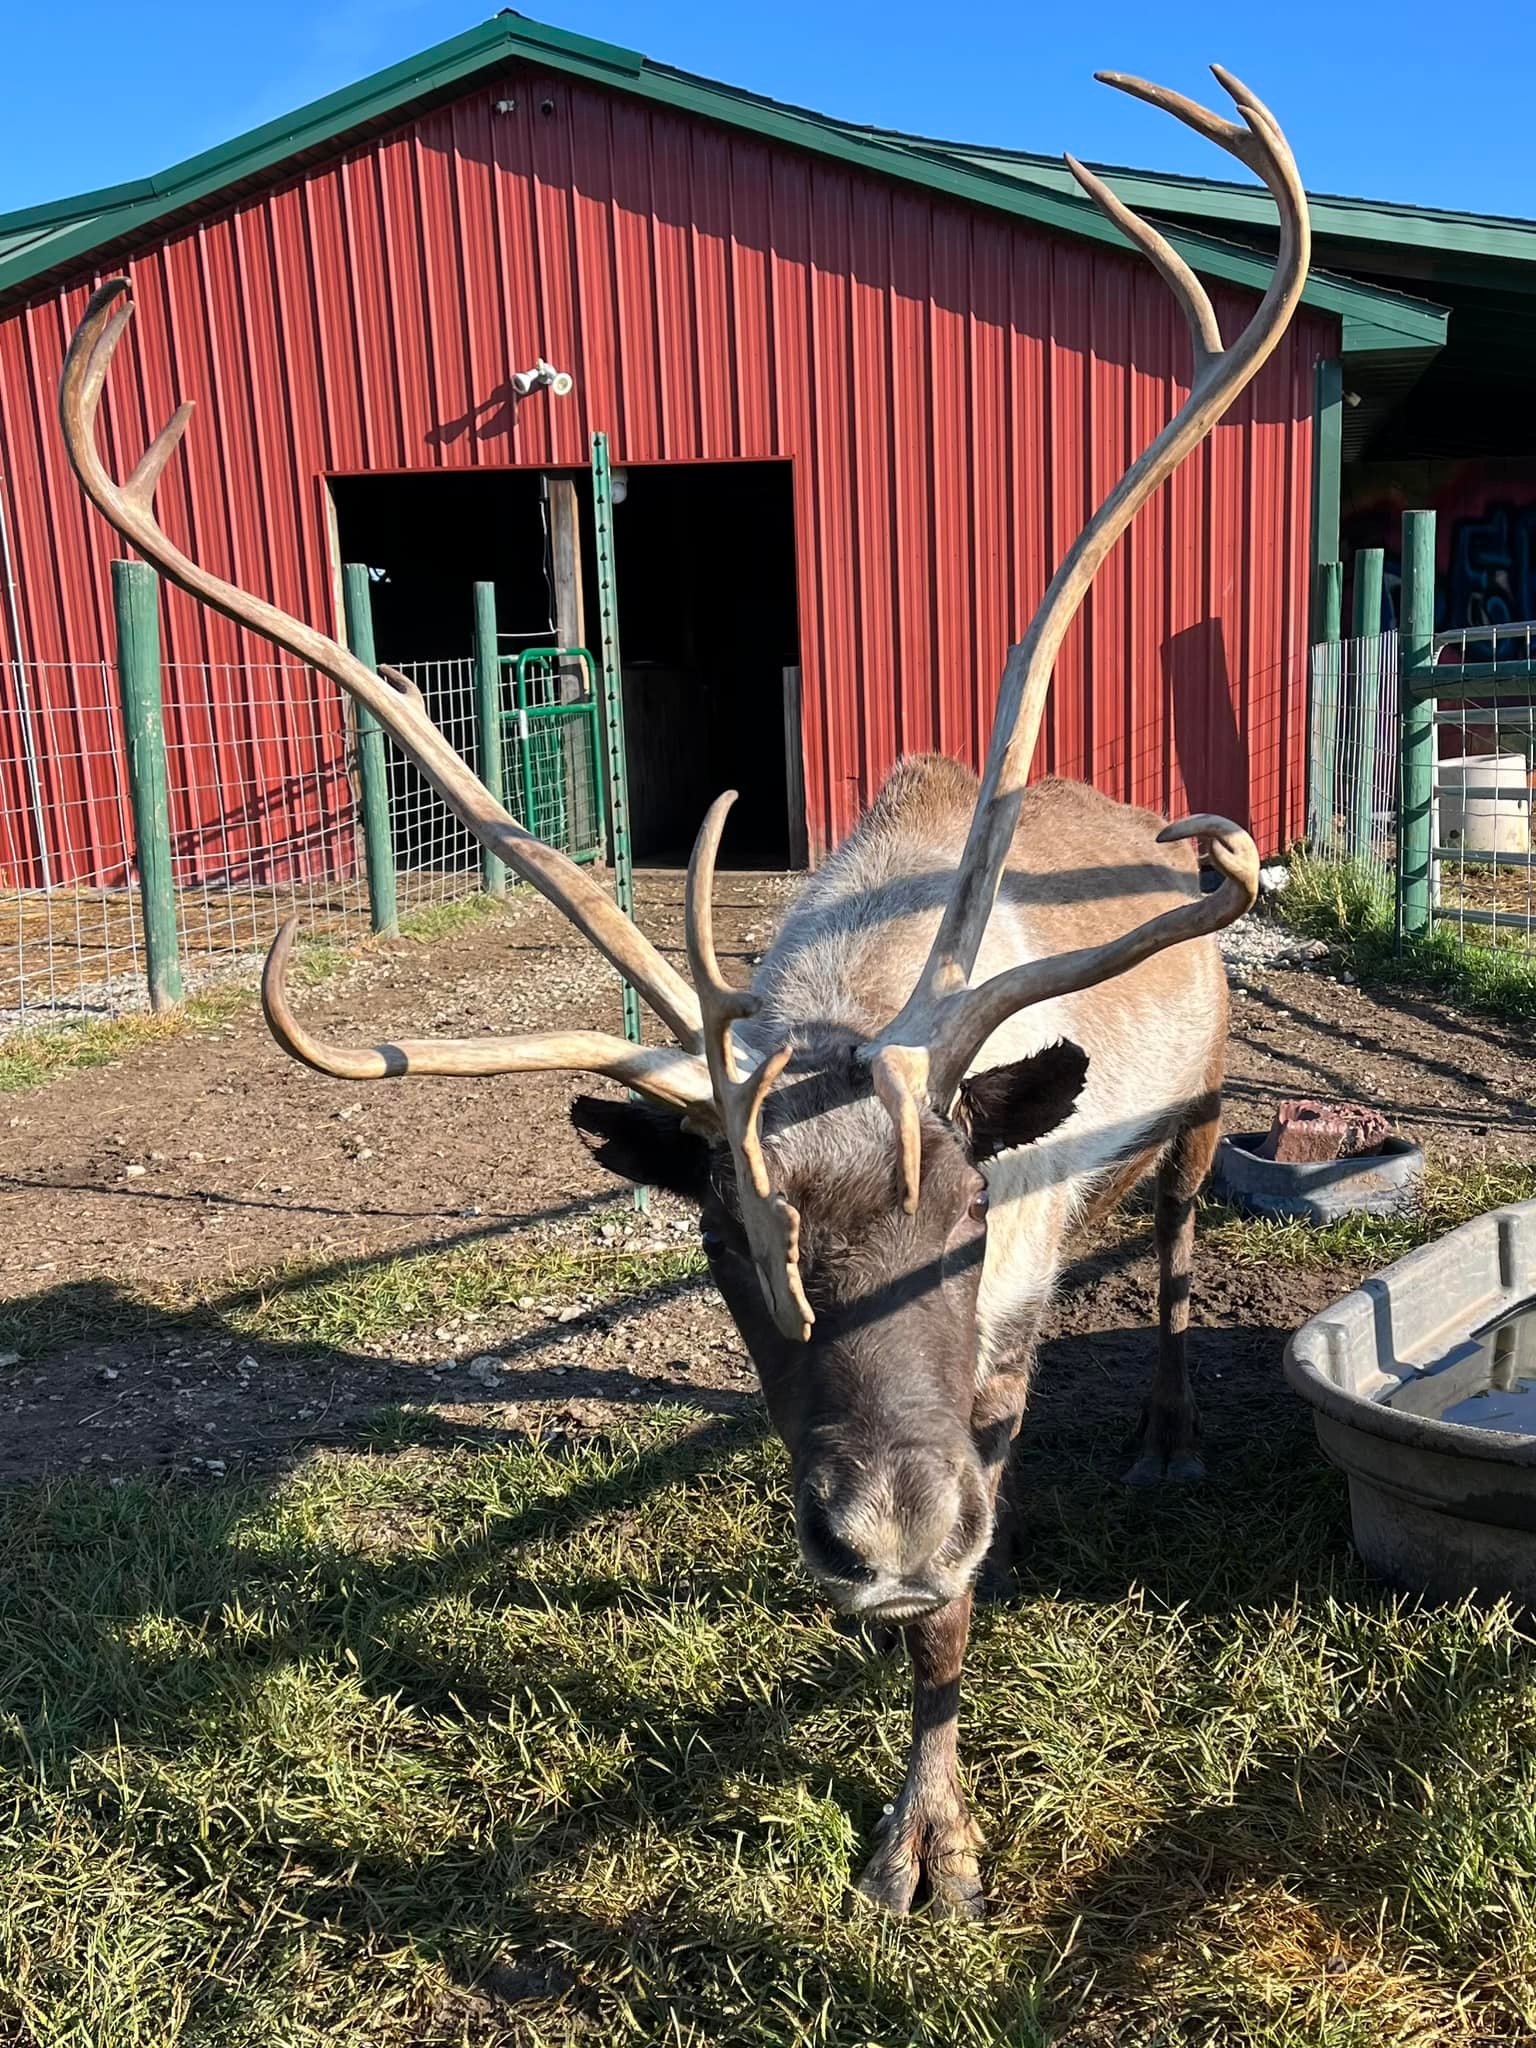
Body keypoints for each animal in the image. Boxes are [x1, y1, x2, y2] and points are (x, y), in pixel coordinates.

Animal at [59, 64, 1307, 1917]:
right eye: (728, 1241)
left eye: (963, 1214)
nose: (882, 1532)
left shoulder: (1000, 1334)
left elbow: (960, 1605)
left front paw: (933, 1838)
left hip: (1203, 1102)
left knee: (1168, 1244)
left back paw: (1162, 1427)